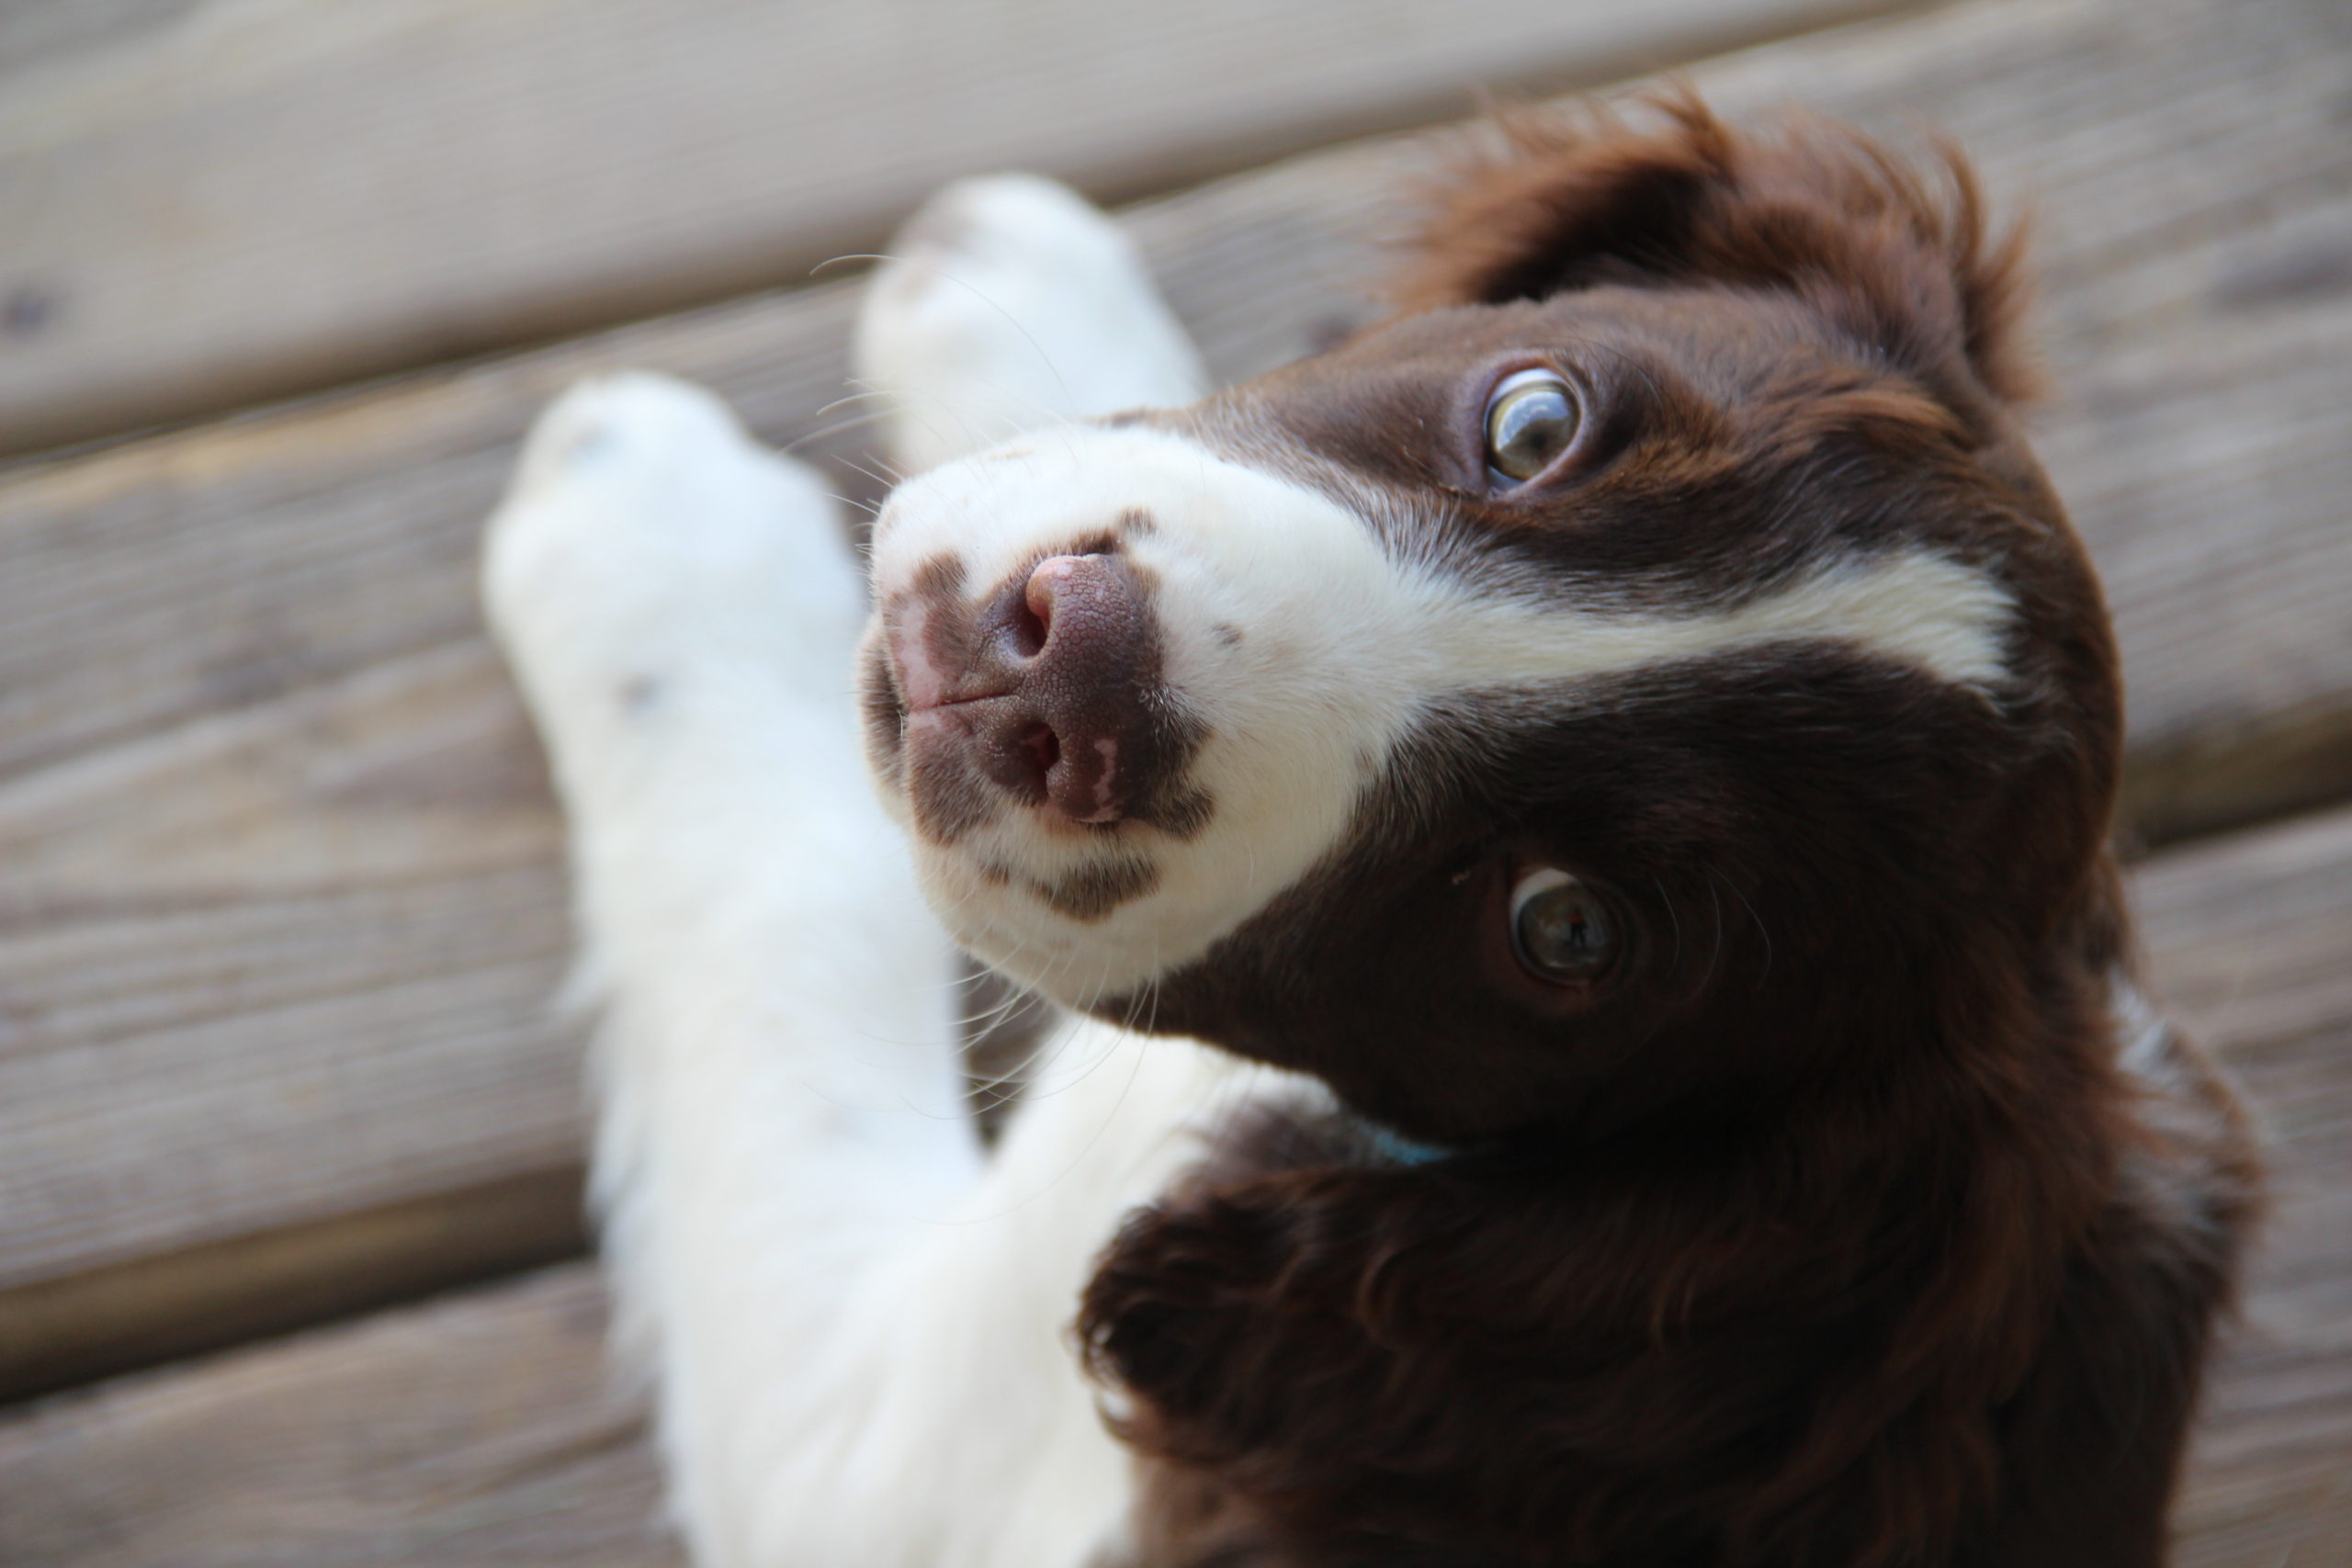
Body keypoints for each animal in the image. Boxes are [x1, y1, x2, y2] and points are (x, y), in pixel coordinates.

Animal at [477, 97, 2257, 1568]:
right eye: (1536, 422)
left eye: (1566, 930)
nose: (1056, 668)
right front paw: (999, 279)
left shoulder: (888, 1451)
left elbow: (778, 907)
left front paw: (648, 512)